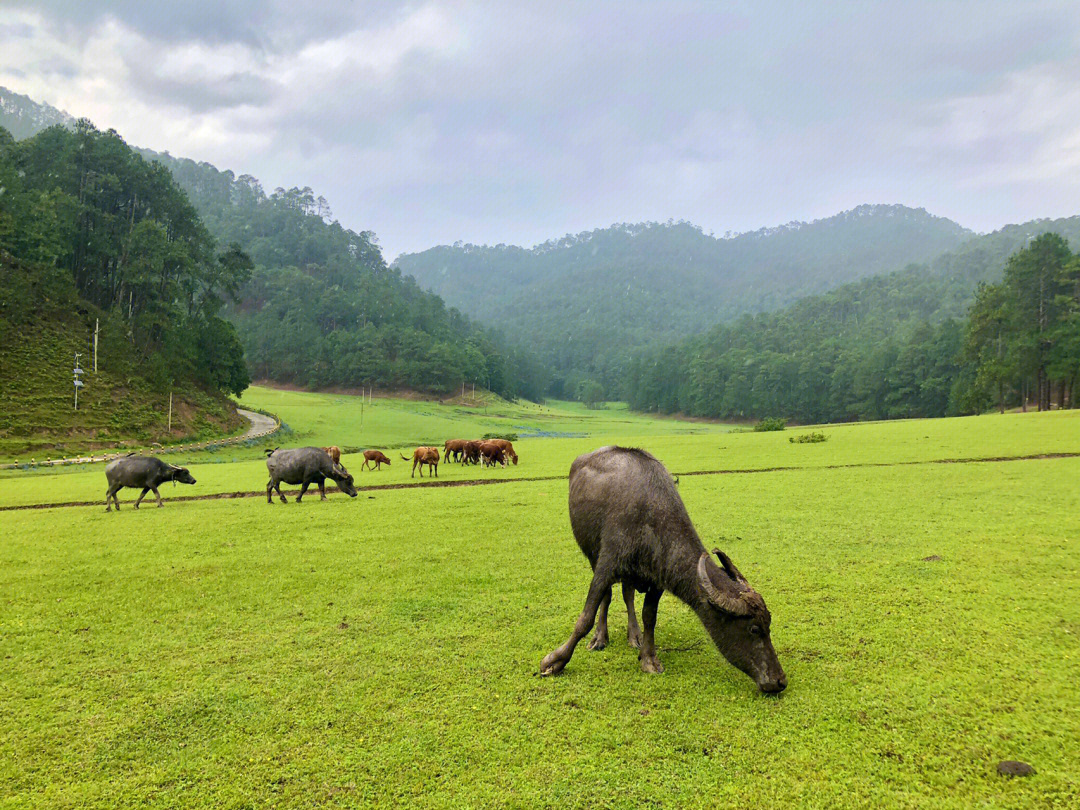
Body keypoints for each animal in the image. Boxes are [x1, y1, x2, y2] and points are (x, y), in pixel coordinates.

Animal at [540, 447, 786, 695]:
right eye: (754, 629)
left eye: (768, 625)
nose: (779, 681)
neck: (650, 521)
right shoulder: (605, 566)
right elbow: (586, 617)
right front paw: (555, 661)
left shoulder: (658, 579)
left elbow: (649, 616)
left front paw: (648, 658)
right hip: (592, 555)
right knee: (608, 598)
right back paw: (600, 638)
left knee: (628, 596)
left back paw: (634, 635)